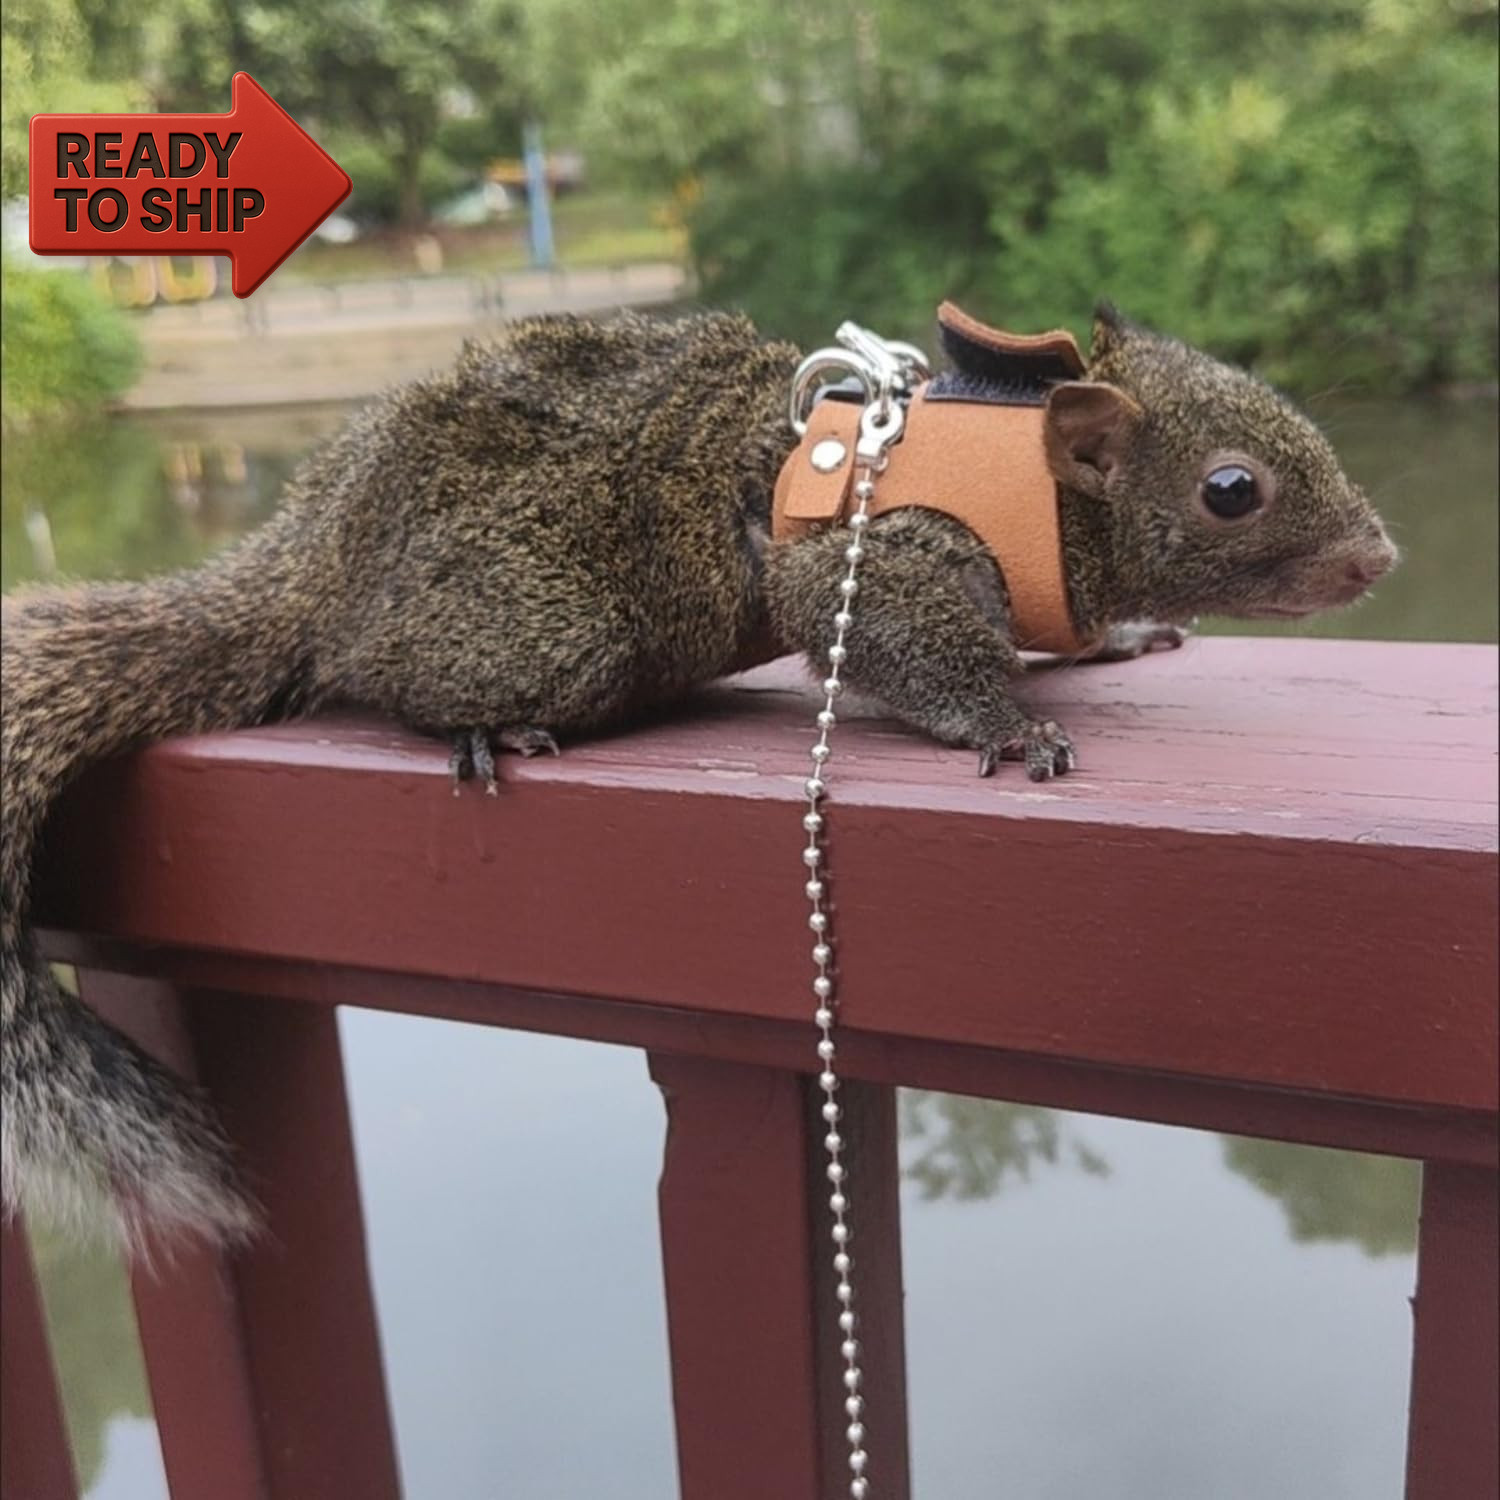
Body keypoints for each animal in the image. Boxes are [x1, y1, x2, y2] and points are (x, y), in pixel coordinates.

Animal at [0, 302, 1397, 1249]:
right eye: (1232, 489)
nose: (1379, 558)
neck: (1030, 475)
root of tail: (319, 550)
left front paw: (1120, 638)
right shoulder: (868, 554)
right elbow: (895, 638)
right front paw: (1006, 723)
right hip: (549, 622)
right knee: (367, 667)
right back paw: (475, 727)